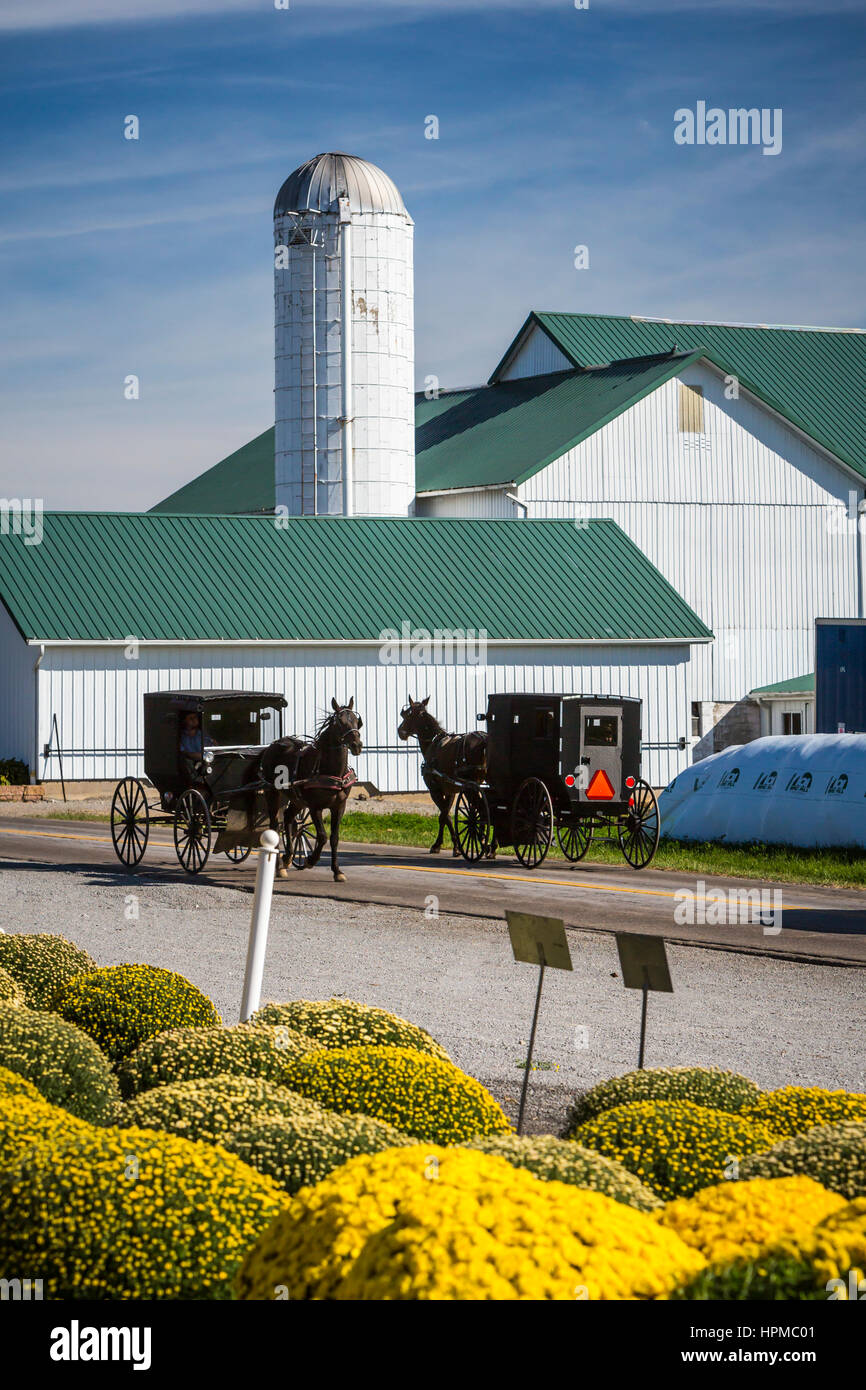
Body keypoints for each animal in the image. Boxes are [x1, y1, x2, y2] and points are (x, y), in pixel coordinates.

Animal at [258, 700, 364, 884]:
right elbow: (322, 836)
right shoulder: (315, 807)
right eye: (340, 722)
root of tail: (273, 745)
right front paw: (310, 860)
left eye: (357, 721)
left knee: (288, 819)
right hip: (272, 792)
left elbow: (334, 838)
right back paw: (278, 865)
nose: (357, 745)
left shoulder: (339, 806)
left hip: (297, 800)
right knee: (275, 826)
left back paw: (287, 858)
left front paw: (337, 871)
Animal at [397, 700, 489, 850]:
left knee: (482, 810)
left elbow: (444, 816)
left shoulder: (434, 790)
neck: (433, 745)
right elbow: (445, 814)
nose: (400, 731)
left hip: (470, 786)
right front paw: (453, 844)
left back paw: (483, 841)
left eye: (406, 715)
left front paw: (442, 844)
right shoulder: (450, 789)